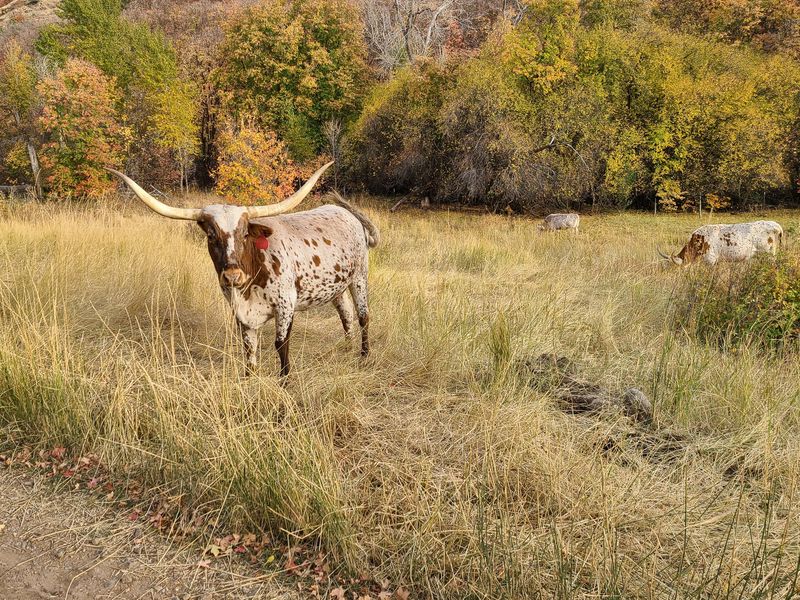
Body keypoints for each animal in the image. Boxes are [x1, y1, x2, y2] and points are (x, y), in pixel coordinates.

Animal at [108, 163, 380, 379]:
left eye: (245, 233)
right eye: (211, 235)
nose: (232, 276)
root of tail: (345, 212)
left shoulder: (286, 305)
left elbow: (281, 344)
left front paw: (285, 380)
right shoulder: (240, 312)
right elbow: (249, 347)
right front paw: (249, 377)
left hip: (360, 277)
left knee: (363, 316)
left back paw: (364, 355)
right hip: (336, 286)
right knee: (345, 313)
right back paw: (347, 348)